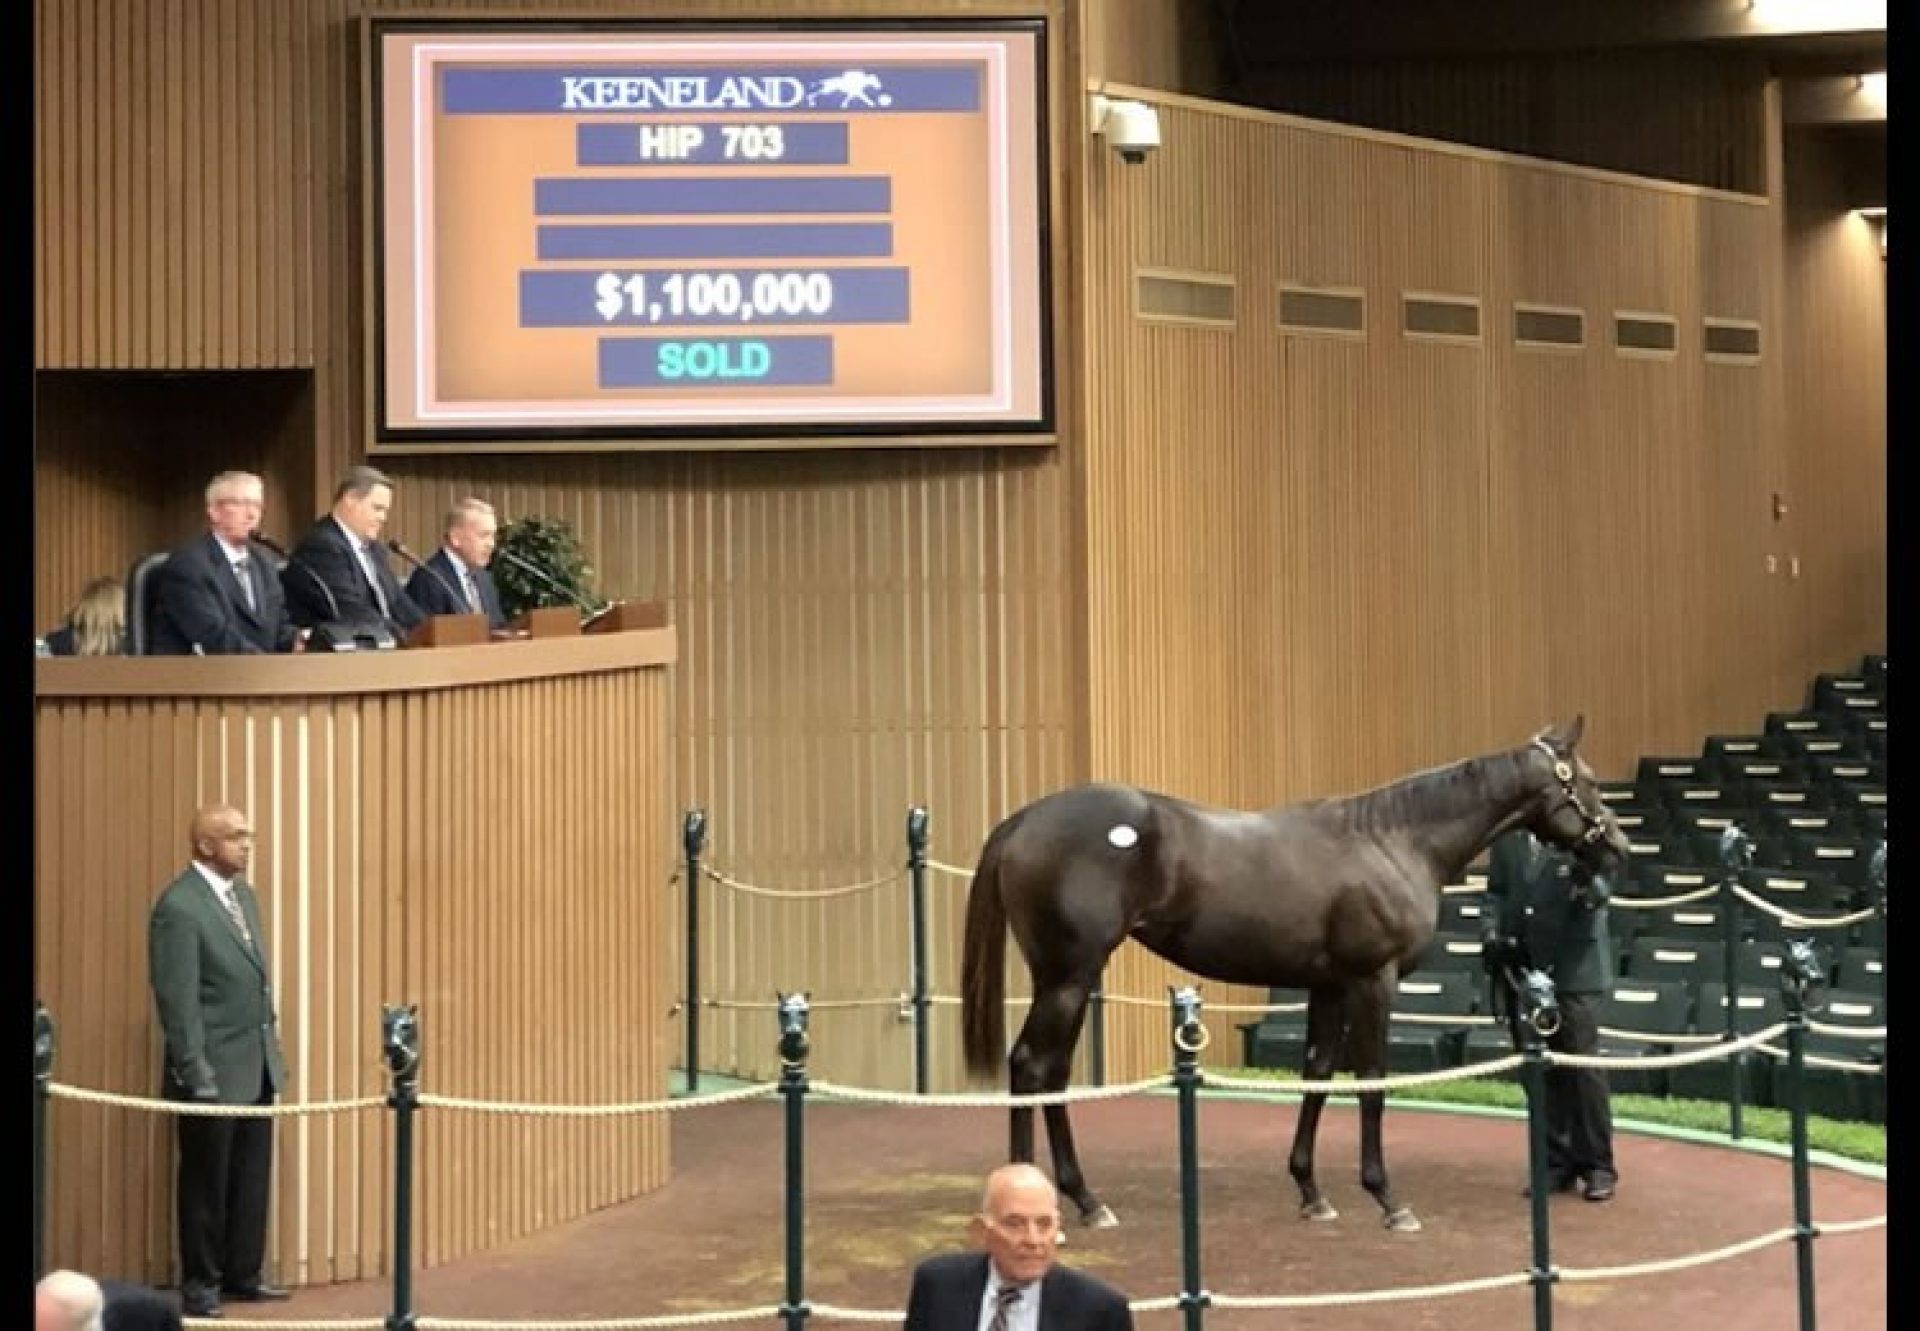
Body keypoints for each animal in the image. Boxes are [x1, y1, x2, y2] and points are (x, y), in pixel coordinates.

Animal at [967, 722, 1628, 1229]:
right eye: (1590, 782)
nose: (1616, 849)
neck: (1392, 839)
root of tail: (1023, 819)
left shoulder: (1329, 987)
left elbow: (1317, 1075)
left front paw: (1312, 1193)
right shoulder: (1373, 981)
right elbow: (1371, 1082)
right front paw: (1388, 1200)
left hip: (1071, 979)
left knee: (1052, 1072)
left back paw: (1082, 1199)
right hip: (1068, 976)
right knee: (1031, 1065)